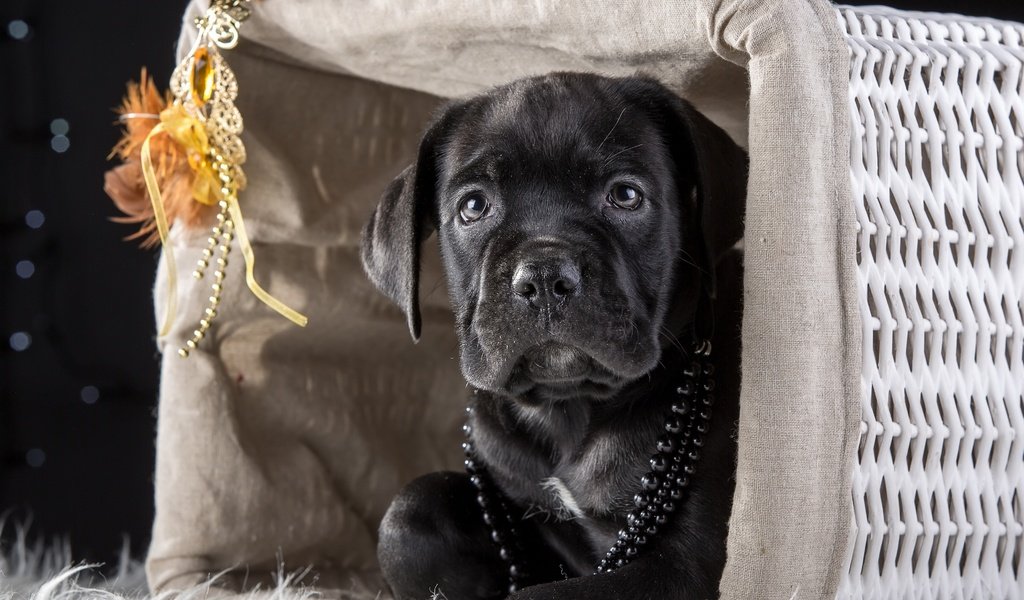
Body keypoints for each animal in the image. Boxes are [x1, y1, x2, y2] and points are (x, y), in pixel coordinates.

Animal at [360, 73, 745, 597]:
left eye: (626, 195)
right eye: (473, 207)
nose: (542, 277)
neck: (568, 409)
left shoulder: (682, 569)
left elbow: (541, 595)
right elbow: (408, 511)